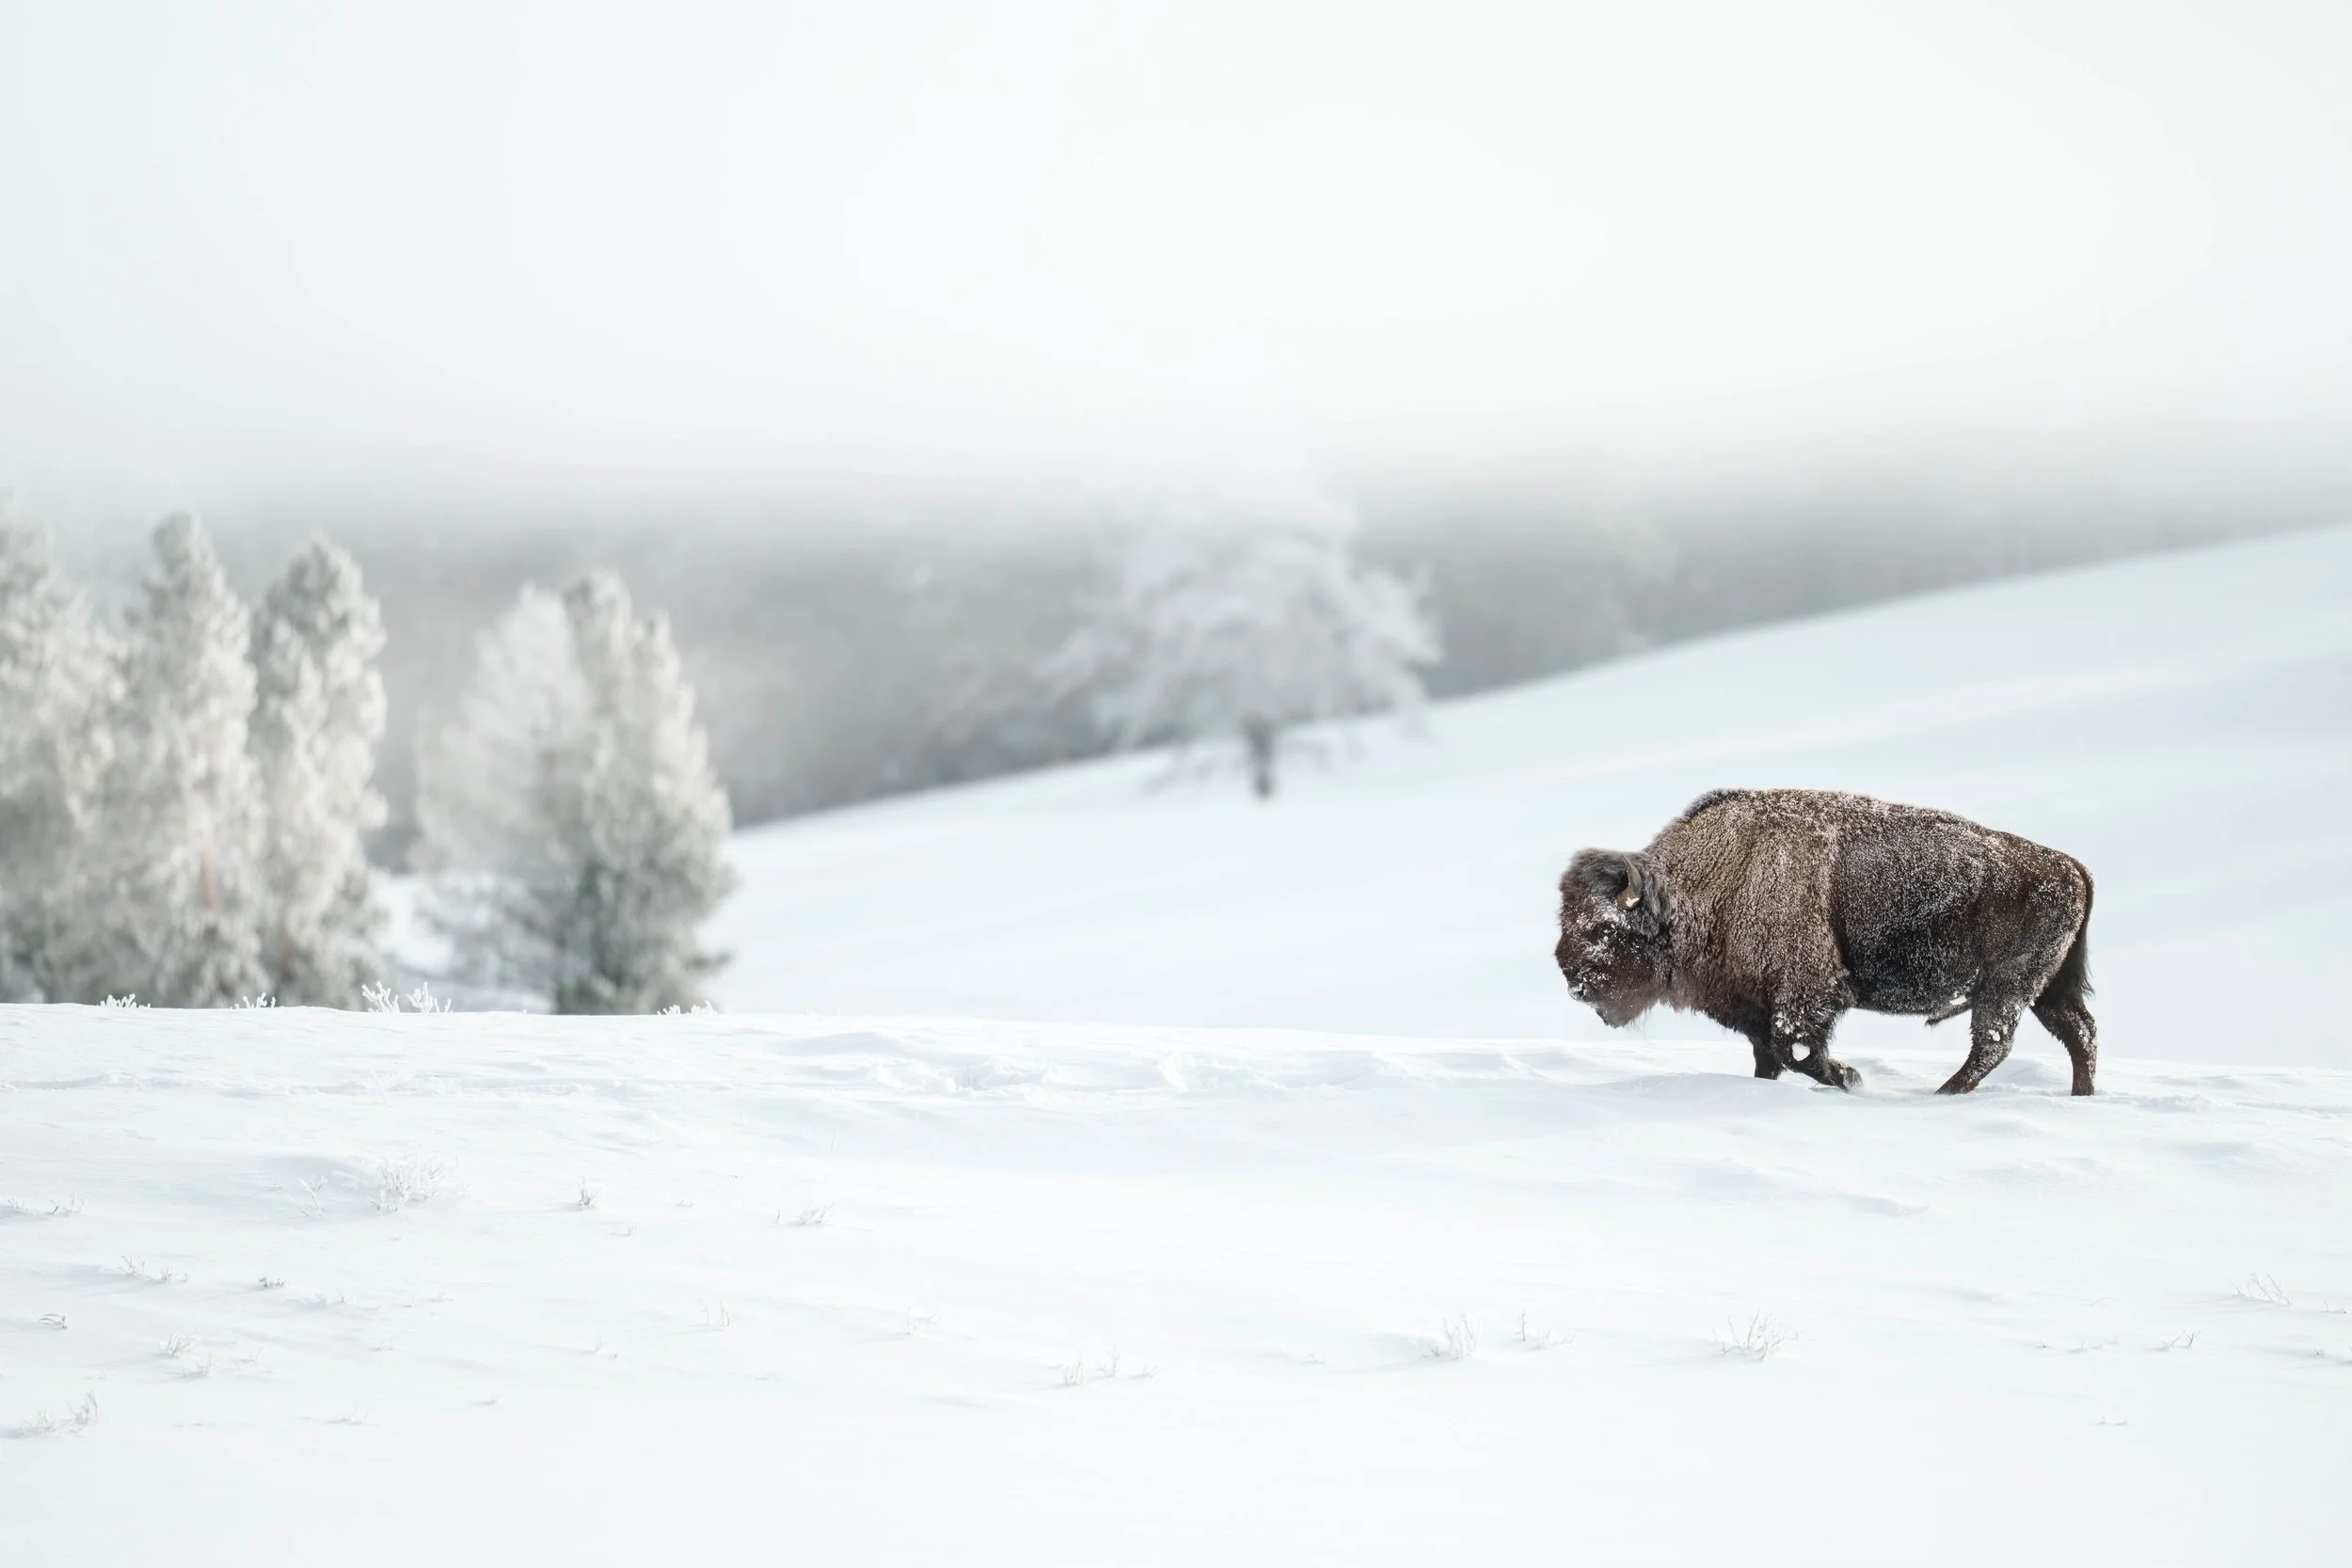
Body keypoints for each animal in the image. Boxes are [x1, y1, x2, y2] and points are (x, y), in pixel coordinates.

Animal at [1555, 789, 2096, 1094]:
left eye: (1603, 930)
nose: (1574, 980)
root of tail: (2070, 866)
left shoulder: (1805, 994)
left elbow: (1797, 1051)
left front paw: (1851, 1078)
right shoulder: (1755, 1004)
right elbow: (1770, 1057)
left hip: (2005, 988)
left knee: (1994, 1044)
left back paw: (1943, 1094)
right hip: (2045, 990)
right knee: (2079, 1034)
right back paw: (2080, 1095)